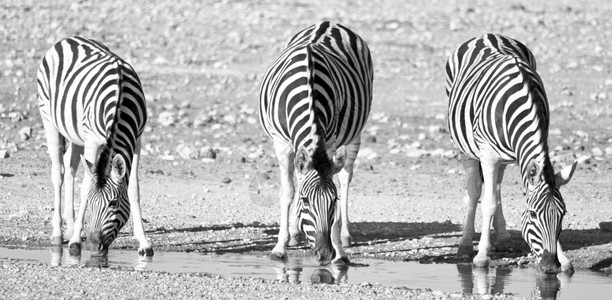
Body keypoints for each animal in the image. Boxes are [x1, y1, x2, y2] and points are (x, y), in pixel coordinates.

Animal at [37, 36, 153, 256]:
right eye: (90, 202)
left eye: (113, 203)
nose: (92, 246)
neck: (120, 101)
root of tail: (67, 39)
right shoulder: (91, 139)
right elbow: (85, 186)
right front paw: (75, 242)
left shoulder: (137, 141)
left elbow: (134, 189)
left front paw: (144, 242)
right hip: (49, 120)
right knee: (59, 172)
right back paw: (58, 234)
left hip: (75, 135)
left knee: (70, 167)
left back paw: (71, 227)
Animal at [258, 21, 372, 264]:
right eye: (306, 201)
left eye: (333, 202)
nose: (324, 254)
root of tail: (330, 22)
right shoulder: (281, 144)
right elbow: (288, 191)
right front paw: (280, 246)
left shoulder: (330, 142)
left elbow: (337, 186)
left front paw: (339, 252)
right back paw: (294, 234)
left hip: (355, 133)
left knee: (345, 178)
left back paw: (345, 235)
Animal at [444, 33, 572, 274]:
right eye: (533, 214)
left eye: (563, 214)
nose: (551, 266)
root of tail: (487, 34)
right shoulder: (487, 153)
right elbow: (488, 203)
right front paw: (481, 257)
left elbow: (496, 195)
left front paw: (565, 259)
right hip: (467, 148)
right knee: (476, 190)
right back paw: (465, 244)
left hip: (503, 156)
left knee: (497, 186)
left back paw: (502, 237)